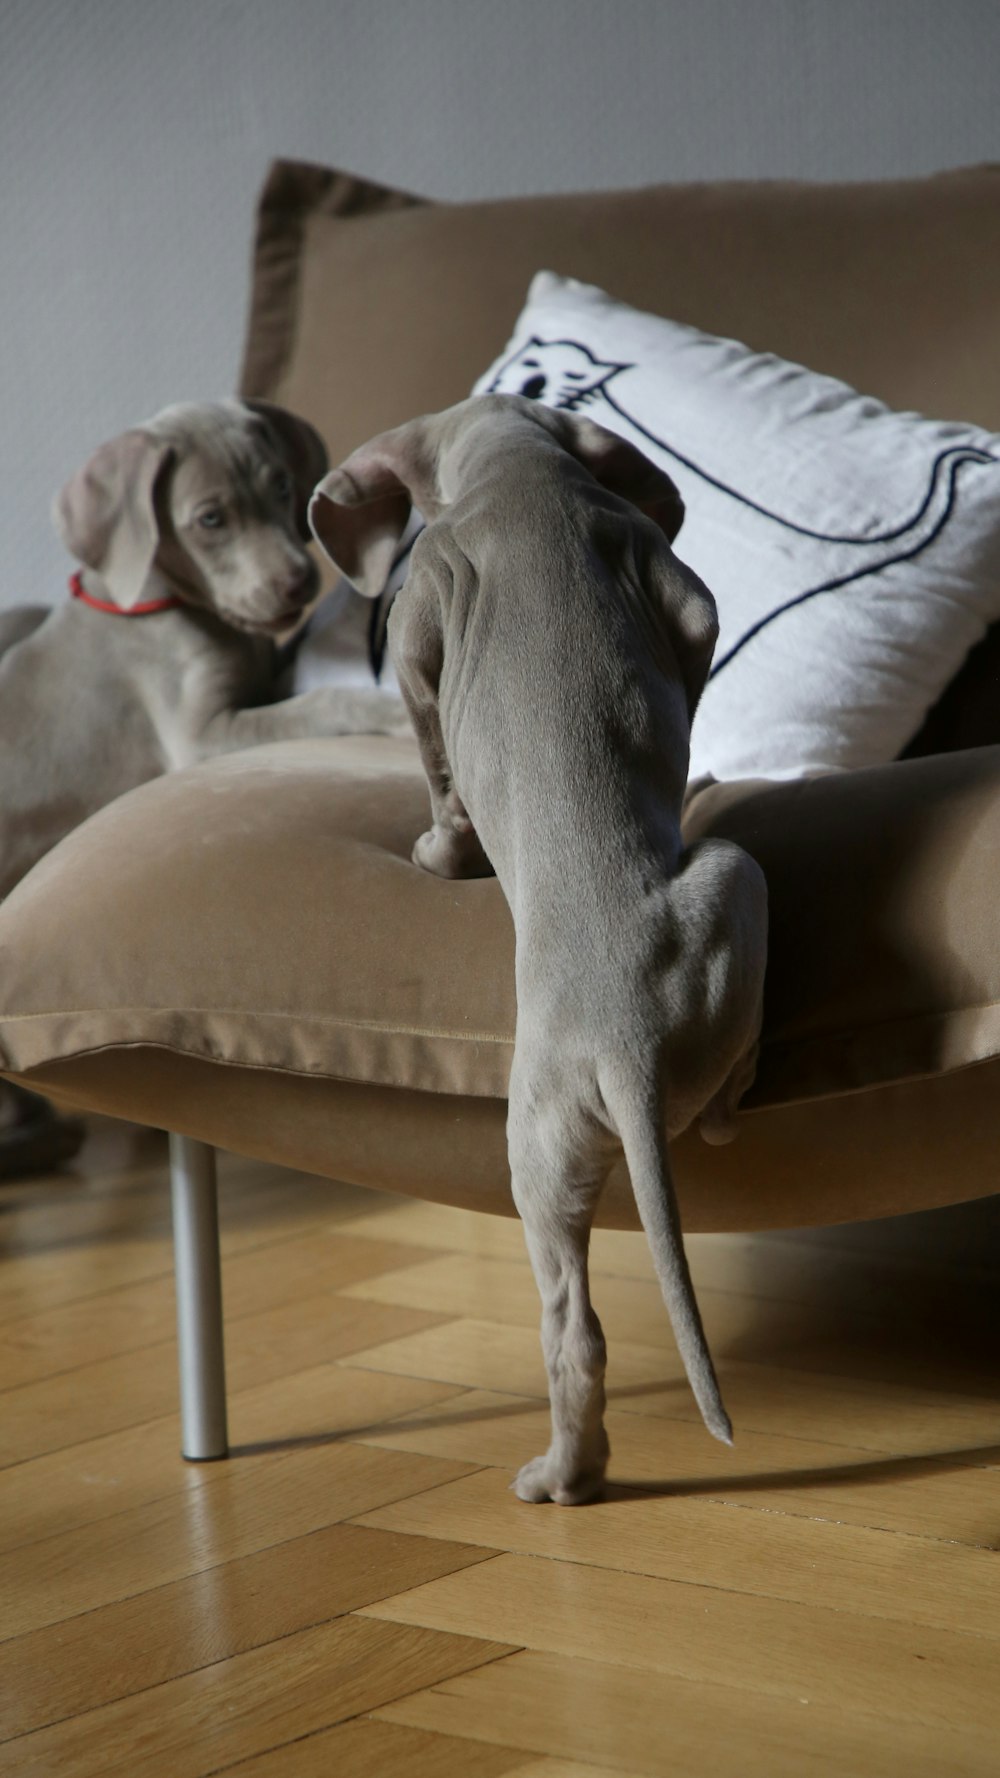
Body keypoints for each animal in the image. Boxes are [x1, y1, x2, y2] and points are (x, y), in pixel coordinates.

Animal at [0, 398, 405, 910]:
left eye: (281, 486)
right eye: (211, 520)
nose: (301, 581)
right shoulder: (199, 736)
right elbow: (321, 700)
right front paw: (394, 711)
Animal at [307, 392, 765, 1500]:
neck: (518, 473)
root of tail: (625, 1045)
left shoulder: (430, 614)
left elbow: (432, 742)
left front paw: (441, 851)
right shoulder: (666, 586)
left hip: (544, 1132)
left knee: (572, 1325)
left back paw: (564, 1471)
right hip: (720, 900)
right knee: (580, 1315)